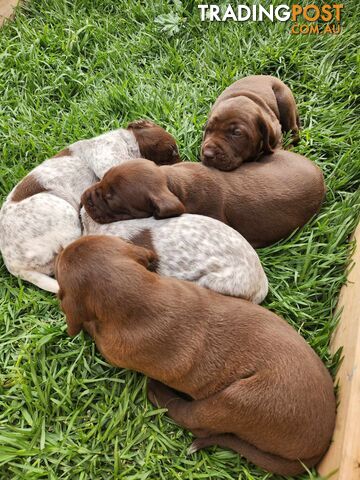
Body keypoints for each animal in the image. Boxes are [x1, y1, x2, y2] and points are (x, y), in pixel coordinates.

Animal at [55, 234, 334, 474]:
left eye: (59, 268)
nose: (59, 249)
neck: (142, 297)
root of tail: (318, 449)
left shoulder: (112, 349)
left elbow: (90, 327)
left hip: (235, 400)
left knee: (194, 421)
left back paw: (159, 393)